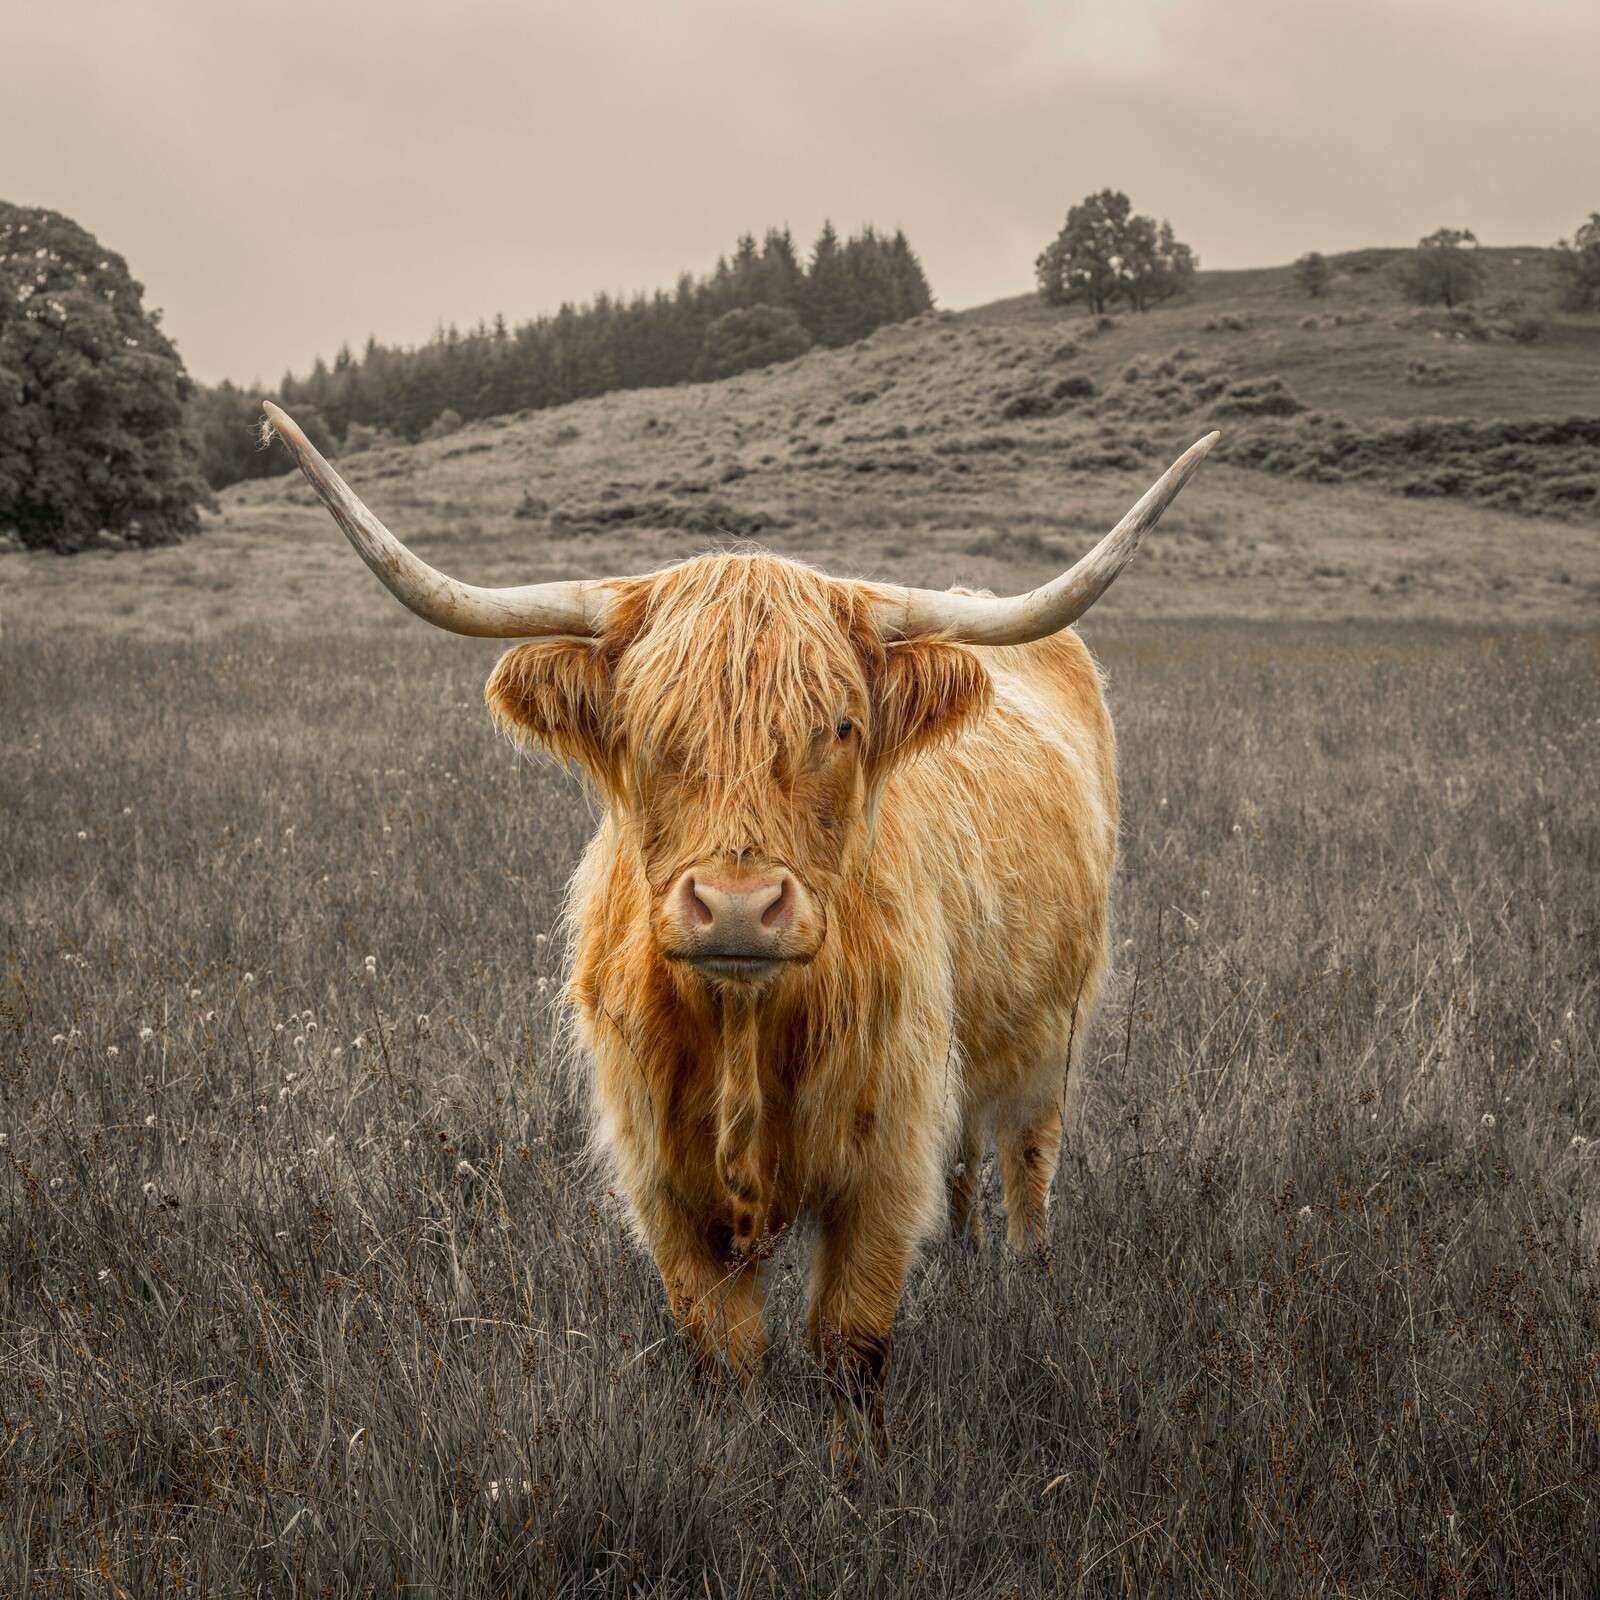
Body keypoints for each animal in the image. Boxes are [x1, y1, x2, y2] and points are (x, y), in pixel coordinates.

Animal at [262, 402, 1217, 1450]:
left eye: (840, 726)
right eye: (645, 729)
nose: (735, 907)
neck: (745, 1033)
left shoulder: (884, 1162)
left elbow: (850, 1344)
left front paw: (852, 1465)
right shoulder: (663, 1177)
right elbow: (724, 1350)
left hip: (1055, 1031)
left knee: (1027, 1160)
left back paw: (1022, 1276)